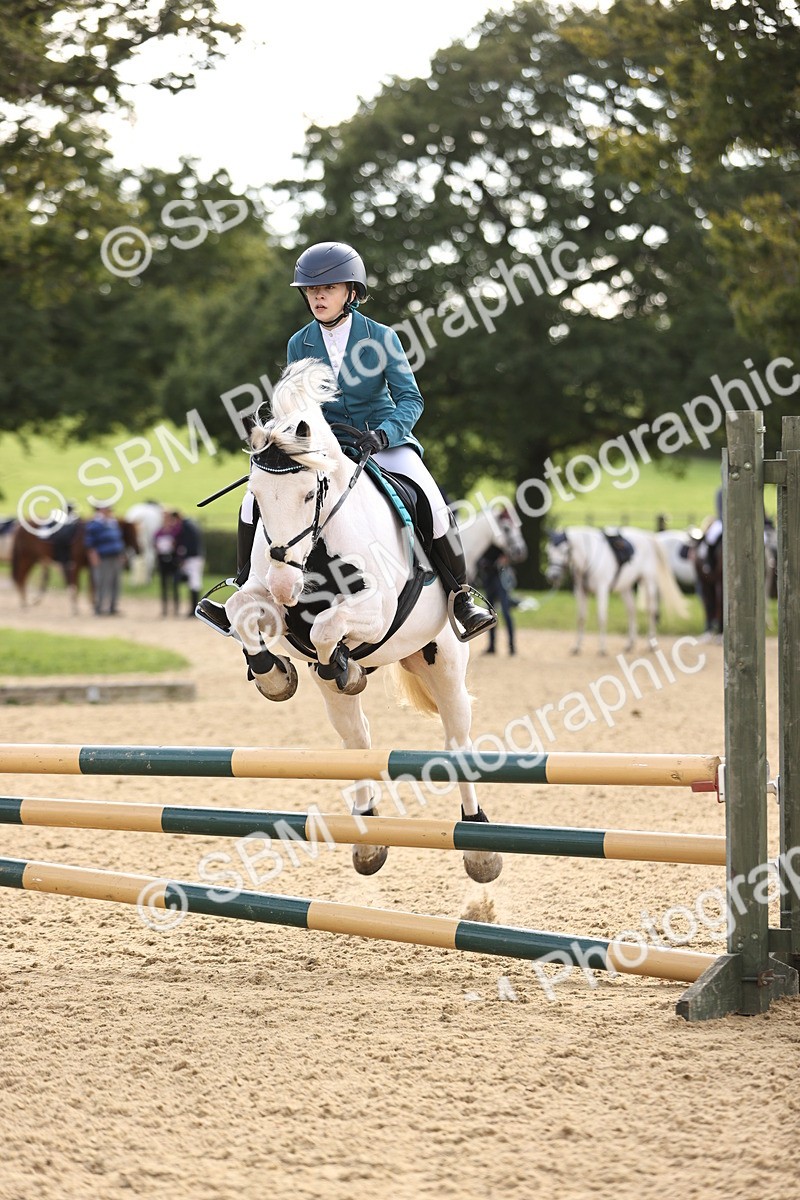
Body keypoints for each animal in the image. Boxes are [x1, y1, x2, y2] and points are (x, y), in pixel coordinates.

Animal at [221, 358, 502, 884]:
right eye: (257, 498)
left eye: (308, 493)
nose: (286, 586)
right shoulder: (271, 599)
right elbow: (243, 614)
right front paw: (273, 675)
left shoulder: (377, 608)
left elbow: (326, 628)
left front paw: (337, 662)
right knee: (358, 739)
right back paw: (368, 834)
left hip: (445, 663)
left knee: (457, 741)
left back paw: (479, 844)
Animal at [545, 525, 689, 655]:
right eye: (548, 551)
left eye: (564, 550)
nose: (553, 576)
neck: (588, 558)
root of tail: (648, 537)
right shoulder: (581, 591)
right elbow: (581, 618)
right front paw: (576, 647)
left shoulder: (602, 589)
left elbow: (601, 616)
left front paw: (602, 648)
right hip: (625, 587)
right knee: (631, 611)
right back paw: (630, 644)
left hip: (648, 582)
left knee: (651, 611)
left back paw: (651, 644)